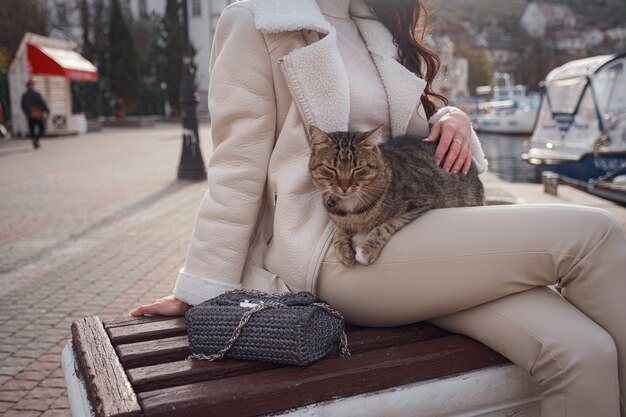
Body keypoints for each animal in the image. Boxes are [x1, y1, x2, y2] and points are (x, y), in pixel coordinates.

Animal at [308, 124, 482, 266]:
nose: (344, 187)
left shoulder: (422, 200)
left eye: (358, 169)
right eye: (331, 169)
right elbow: (338, 226)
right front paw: (343, 248)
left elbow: (387, 224)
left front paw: (367, 250)